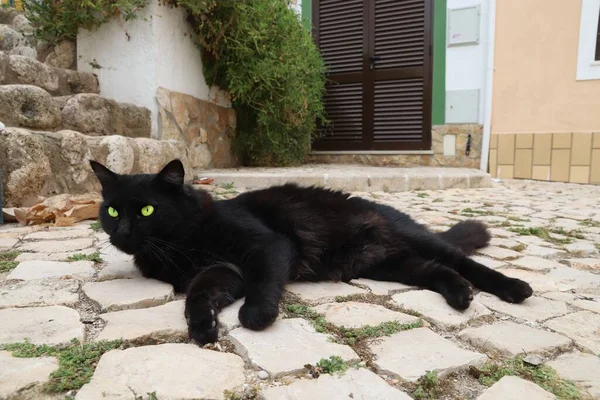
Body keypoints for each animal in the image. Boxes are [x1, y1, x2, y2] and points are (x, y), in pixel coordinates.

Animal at [90, 159, 536, 344]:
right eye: (112, 210)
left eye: (147, 210)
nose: (123, 231)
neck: (180, 244)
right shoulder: (223, 271)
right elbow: (200, 292)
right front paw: (202, 325)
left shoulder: (266, 247)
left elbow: (264, 282)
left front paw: (257, 315)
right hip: (394, 265)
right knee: (438, 271)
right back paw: (460, 296)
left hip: (415, 242)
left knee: (463, 261)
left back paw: (513, 288)